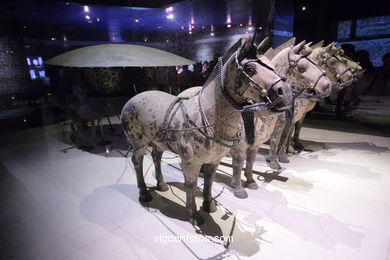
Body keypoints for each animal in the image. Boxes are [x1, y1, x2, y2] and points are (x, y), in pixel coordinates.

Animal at [121, 37, 292, 225]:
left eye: (273, 66)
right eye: (250, 69)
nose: (286, 93)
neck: (207, 118)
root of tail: (132, 99)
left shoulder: (214, 160)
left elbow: (209, 182)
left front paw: (209, 206)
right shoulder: (190, 162)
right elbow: (191, 184)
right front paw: (194, 215)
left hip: (158, 142)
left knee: (156, 157)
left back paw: (162, 185)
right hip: (138, 142)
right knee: (137, 161)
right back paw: (144, 193)